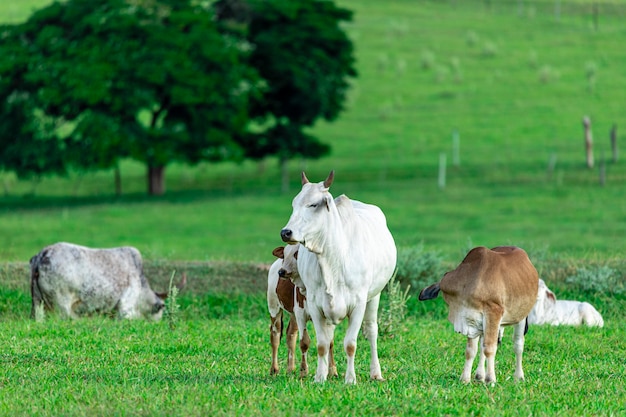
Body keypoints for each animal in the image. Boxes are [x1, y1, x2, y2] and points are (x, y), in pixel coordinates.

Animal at [268, 244, 336, 376]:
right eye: (285, 254)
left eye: (297, 254)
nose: (282, 272)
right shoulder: (301, 313)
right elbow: (304, 342)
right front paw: (304, 371)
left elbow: (330, 342)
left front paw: (333, 371)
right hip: (274, 305)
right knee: (275, 334)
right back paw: (274, 369)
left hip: (294, 314)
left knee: (291, 334)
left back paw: (290, 369)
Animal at [282, 170, 394, 384]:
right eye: (293, 204)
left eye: (313, 204)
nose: (286, 232)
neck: (333, 260)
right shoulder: (315, 304)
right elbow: (322, 344)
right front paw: (319, 377)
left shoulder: (358, 304)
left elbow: (350, 344)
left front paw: (350, 379)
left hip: (375, 296)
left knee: (372, 331)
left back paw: (376, 372)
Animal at [416, 245, 532, 386]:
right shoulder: (471, 321)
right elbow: (471, 351)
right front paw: (465, 379)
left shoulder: (493, 313)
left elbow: (490, 348)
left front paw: (491, 380)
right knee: (483, 346)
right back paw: (479, 376)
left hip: (521, 317)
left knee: (518, 345)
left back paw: (518, 377)